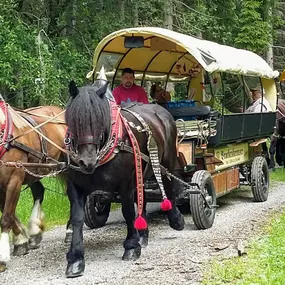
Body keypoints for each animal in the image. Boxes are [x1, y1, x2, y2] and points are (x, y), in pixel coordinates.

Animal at [0, 101, 66, 270]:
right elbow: (9, 213)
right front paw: (21, 240)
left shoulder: (15, 178)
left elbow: (7, 216)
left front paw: (3, 257)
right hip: (35, 170)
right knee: (39, 192)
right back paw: (35, 230)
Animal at [63, 79, 184, 276]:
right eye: (73, 121)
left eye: (100, 120)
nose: (87, 161)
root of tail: (160, 111)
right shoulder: (75, 186)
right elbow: (77, 218)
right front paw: (75, 258)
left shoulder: (125, 183)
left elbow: (127, 211)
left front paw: (131, 246)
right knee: (142, 197)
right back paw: (143, 233)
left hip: (167, 161)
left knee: (168, 185)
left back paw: (176, 219)